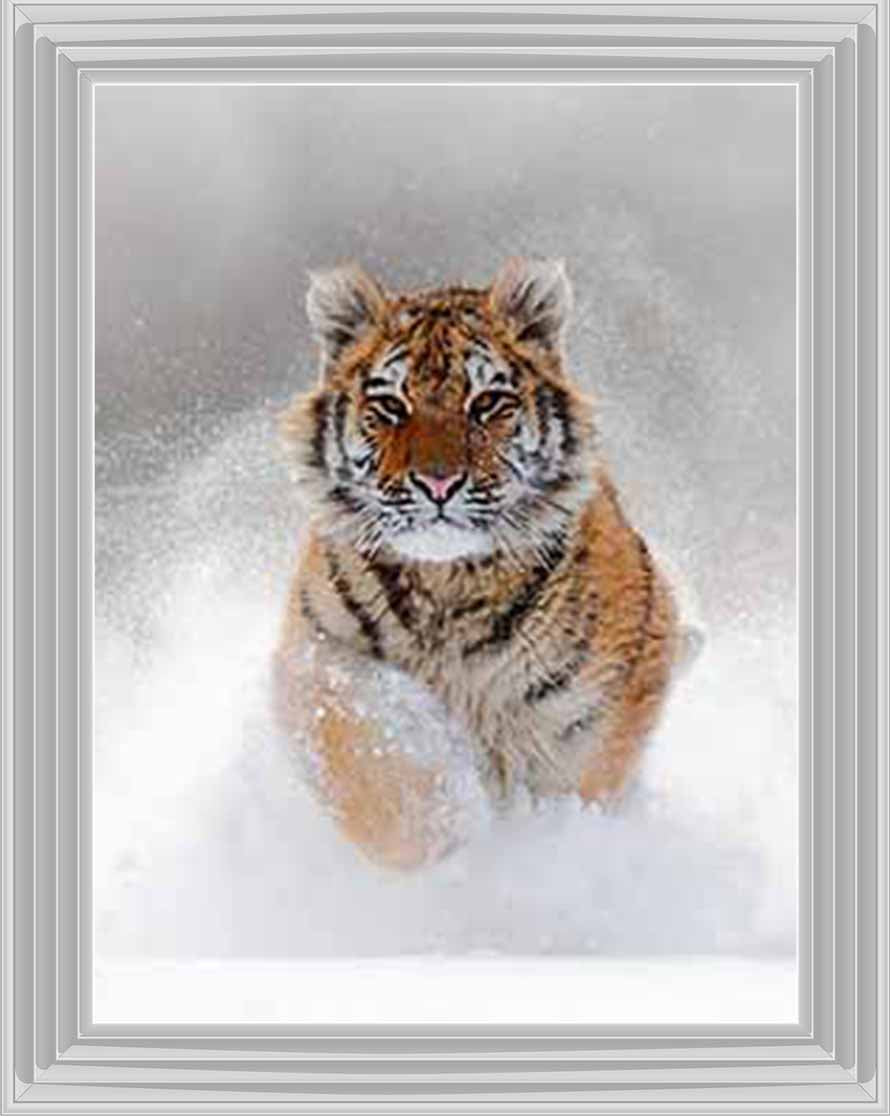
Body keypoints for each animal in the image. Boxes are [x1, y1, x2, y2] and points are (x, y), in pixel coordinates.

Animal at [274, 257, 696, 870]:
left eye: (487, 403)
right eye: (391, 407)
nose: (438, 482)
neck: (446, 583)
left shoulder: (598, 707)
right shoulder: (315, 658)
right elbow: (371, 752)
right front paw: (442, 834)